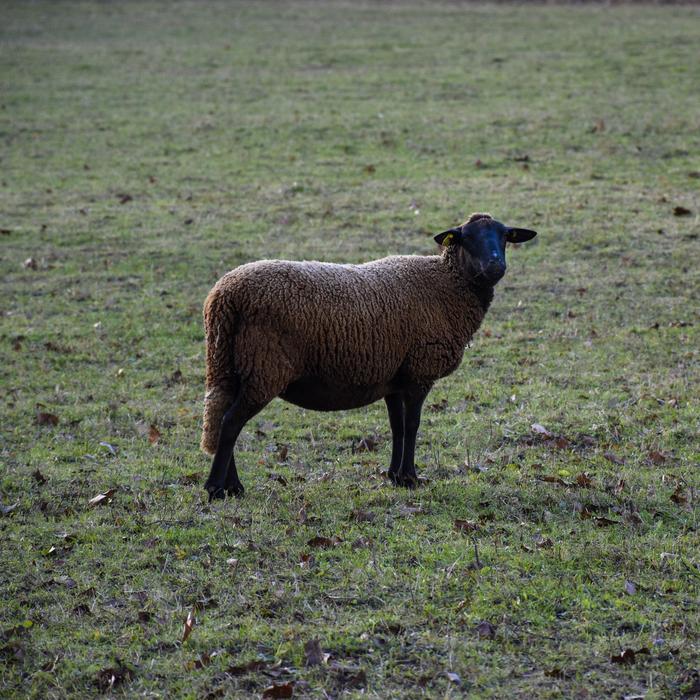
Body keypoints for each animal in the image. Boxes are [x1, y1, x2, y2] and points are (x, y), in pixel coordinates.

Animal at [201, 212, 537, 500]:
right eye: (467, 238)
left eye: (505, 237)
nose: (495, 265)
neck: (447, 283)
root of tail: (224, 296)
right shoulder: (419, 372)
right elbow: (413, 425)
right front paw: (411, 477)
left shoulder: (395, 377)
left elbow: (397, 426)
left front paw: (395, 476)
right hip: (263, 367)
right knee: (230, 422)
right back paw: (217, 488)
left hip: (228, 363)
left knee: (220, 419)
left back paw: (232, 486)